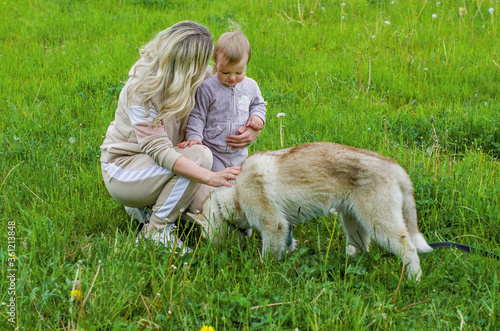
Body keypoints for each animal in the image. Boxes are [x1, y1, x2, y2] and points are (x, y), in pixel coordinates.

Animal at [201, 143, 432, 280]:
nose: (207, 248)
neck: (237, 193)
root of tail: (394, 166)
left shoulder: (273, 225)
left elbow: (268, 256)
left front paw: (264, 272)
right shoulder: (285, 227)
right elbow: (287, 245)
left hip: (379, 223)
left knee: (410, 250)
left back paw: (413, 280)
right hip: (353, 221)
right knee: (362, 248)